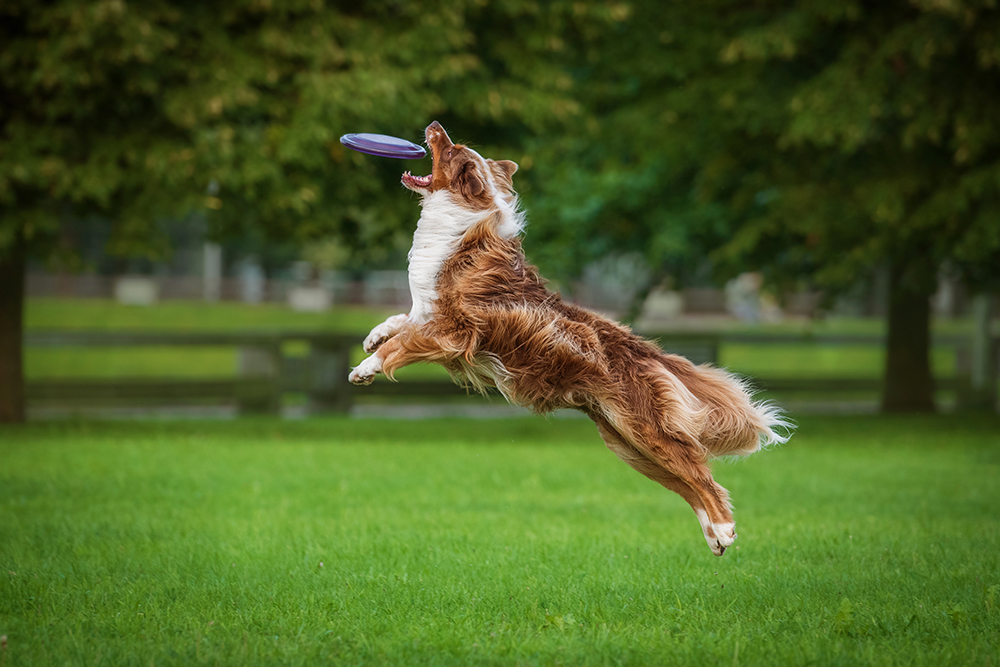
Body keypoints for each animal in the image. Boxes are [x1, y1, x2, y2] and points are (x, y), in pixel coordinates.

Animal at [352, 121, 788, 560]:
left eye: (450, 149)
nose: (435, 125)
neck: (461, 221)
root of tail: (645, 349)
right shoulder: (428, 316)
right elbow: (400, 321)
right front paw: (373, 337)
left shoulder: (452, 331)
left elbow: (401, 344)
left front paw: (365, 368)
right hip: (625, 441)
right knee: (687, 480)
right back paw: (714, 536)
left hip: (646, 431)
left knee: (702, 476)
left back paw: (725, 529)